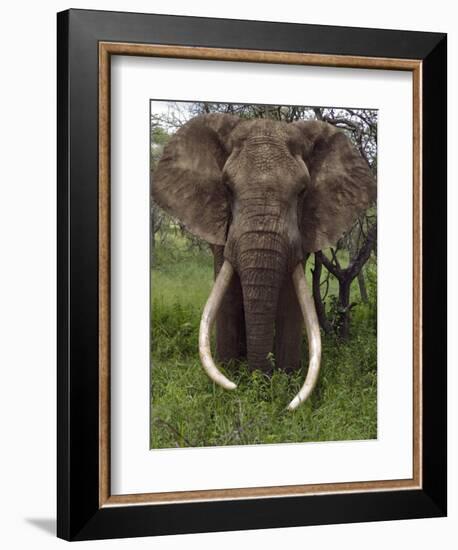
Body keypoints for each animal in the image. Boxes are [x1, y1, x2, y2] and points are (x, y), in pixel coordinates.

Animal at [151, 114, 376, 412]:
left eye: (302, 191)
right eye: (226, 187)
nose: (256, 384)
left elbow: (292, 300)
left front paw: (286, 381)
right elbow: (228, 299)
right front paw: (230, 378)